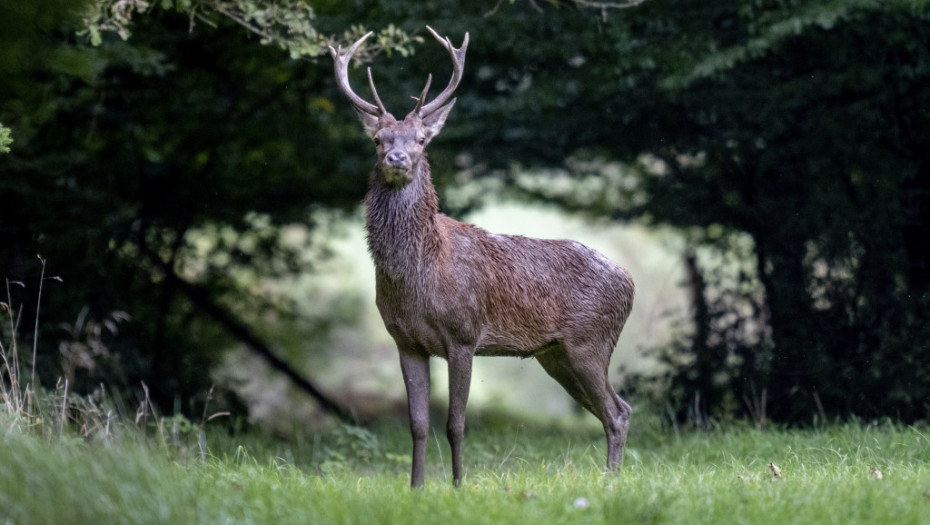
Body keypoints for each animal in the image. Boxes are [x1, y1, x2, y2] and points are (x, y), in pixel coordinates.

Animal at [326, 27, 632, 488]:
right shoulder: (405, 341)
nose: (396, 158)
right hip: (556, 354)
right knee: (619, 408)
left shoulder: (464, 334)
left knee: (615, 413)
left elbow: (455, 423)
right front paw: (416, 487)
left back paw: (610, 481)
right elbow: (417, 424)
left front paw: (457, 484)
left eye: (421, 140)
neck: (418, 274)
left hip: (590, 341)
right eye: (378, 140)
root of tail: (630, 282)